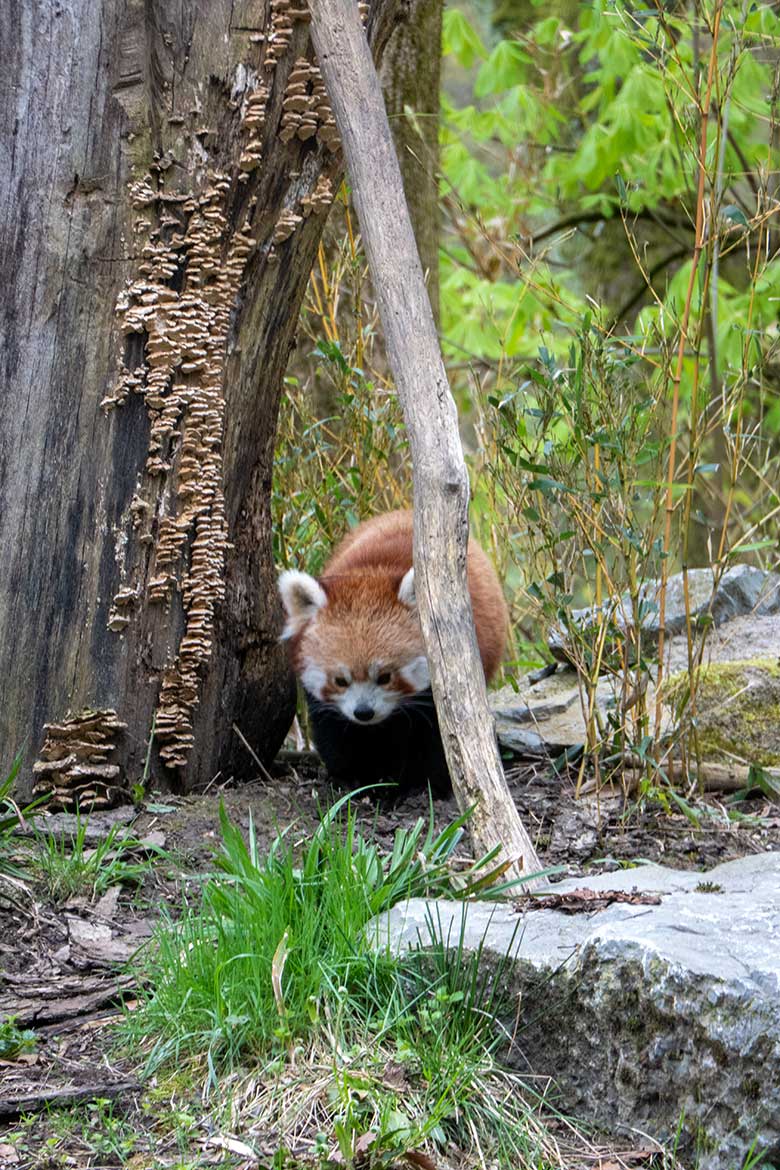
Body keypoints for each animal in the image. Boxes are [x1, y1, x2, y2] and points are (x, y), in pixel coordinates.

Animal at [277, 512, 509, 795]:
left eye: (385, 677)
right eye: (340, 680)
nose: (363, 712)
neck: (374, 571)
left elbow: (436, 739)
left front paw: (420, 784)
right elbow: (335, 733)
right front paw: (353, 778)